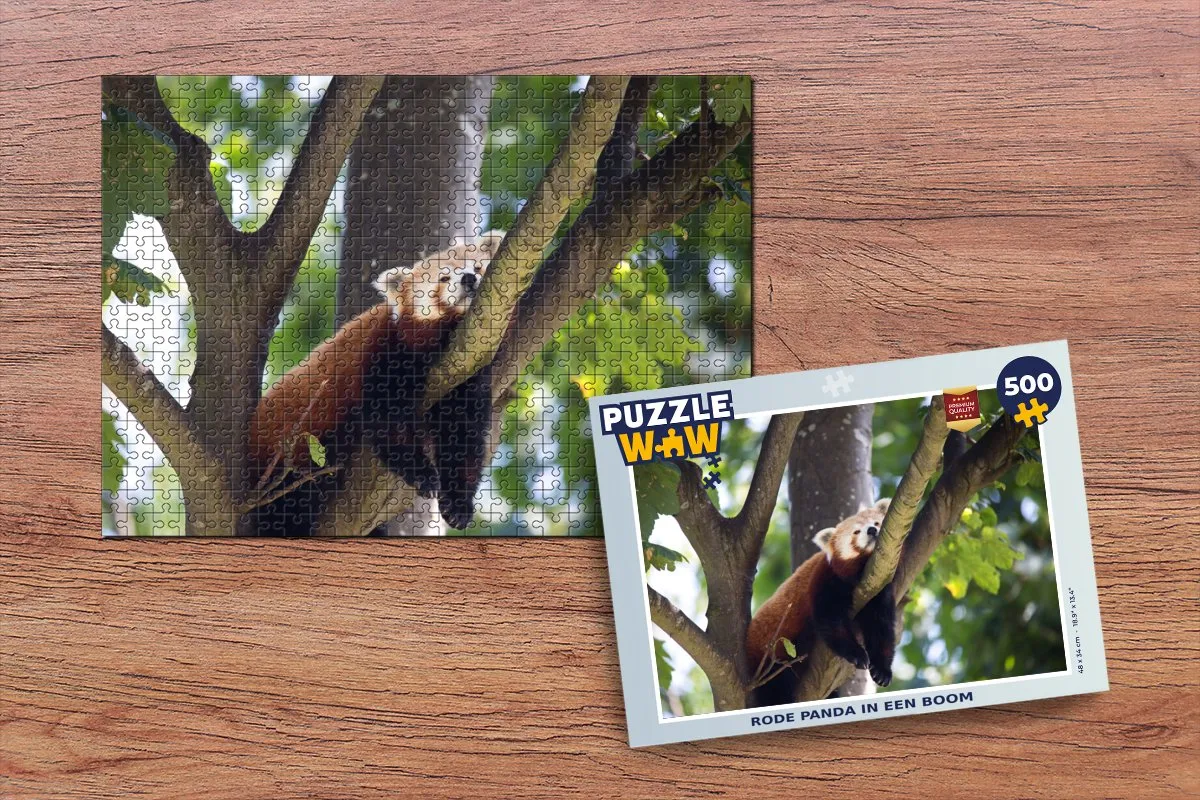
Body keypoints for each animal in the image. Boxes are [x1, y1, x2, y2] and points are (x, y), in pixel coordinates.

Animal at [246, 230, 504, 534]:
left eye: (477, 267)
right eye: (443, 278)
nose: (468, 278)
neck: (445, 341)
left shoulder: (468, 370)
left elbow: (463, 433)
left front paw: (458, 503)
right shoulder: (383, 349)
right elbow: (387, 419)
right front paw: (422, 473)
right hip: (282, 463)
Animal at [745, 498, 897, 707]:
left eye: (876, 522)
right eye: (856, 532)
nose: (872, 530)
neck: (863, 572)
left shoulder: (880, 588)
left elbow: (881, 627)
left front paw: (882, 670)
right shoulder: (826, 579)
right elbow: (830, 621)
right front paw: (857, 654)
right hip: (769, 661)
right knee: (773, 691)